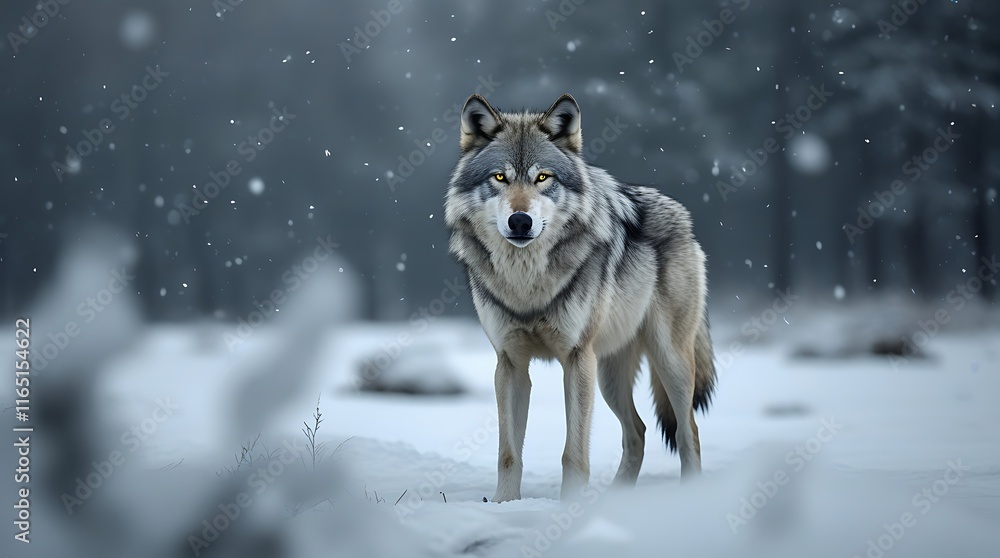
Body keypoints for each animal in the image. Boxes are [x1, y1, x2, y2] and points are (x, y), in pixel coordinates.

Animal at [444, 93, 716, 502]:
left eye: (543, 177)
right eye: (499, 177)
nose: (520, 221)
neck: (527, 283)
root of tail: (682, 214)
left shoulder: (575, 359)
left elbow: (573, 454)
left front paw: (569, 507)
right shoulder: (510, 364)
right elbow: (508, 454)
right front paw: (505, 504)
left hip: (668, 363)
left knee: (690, 432)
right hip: (608, 376)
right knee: (638, 433)